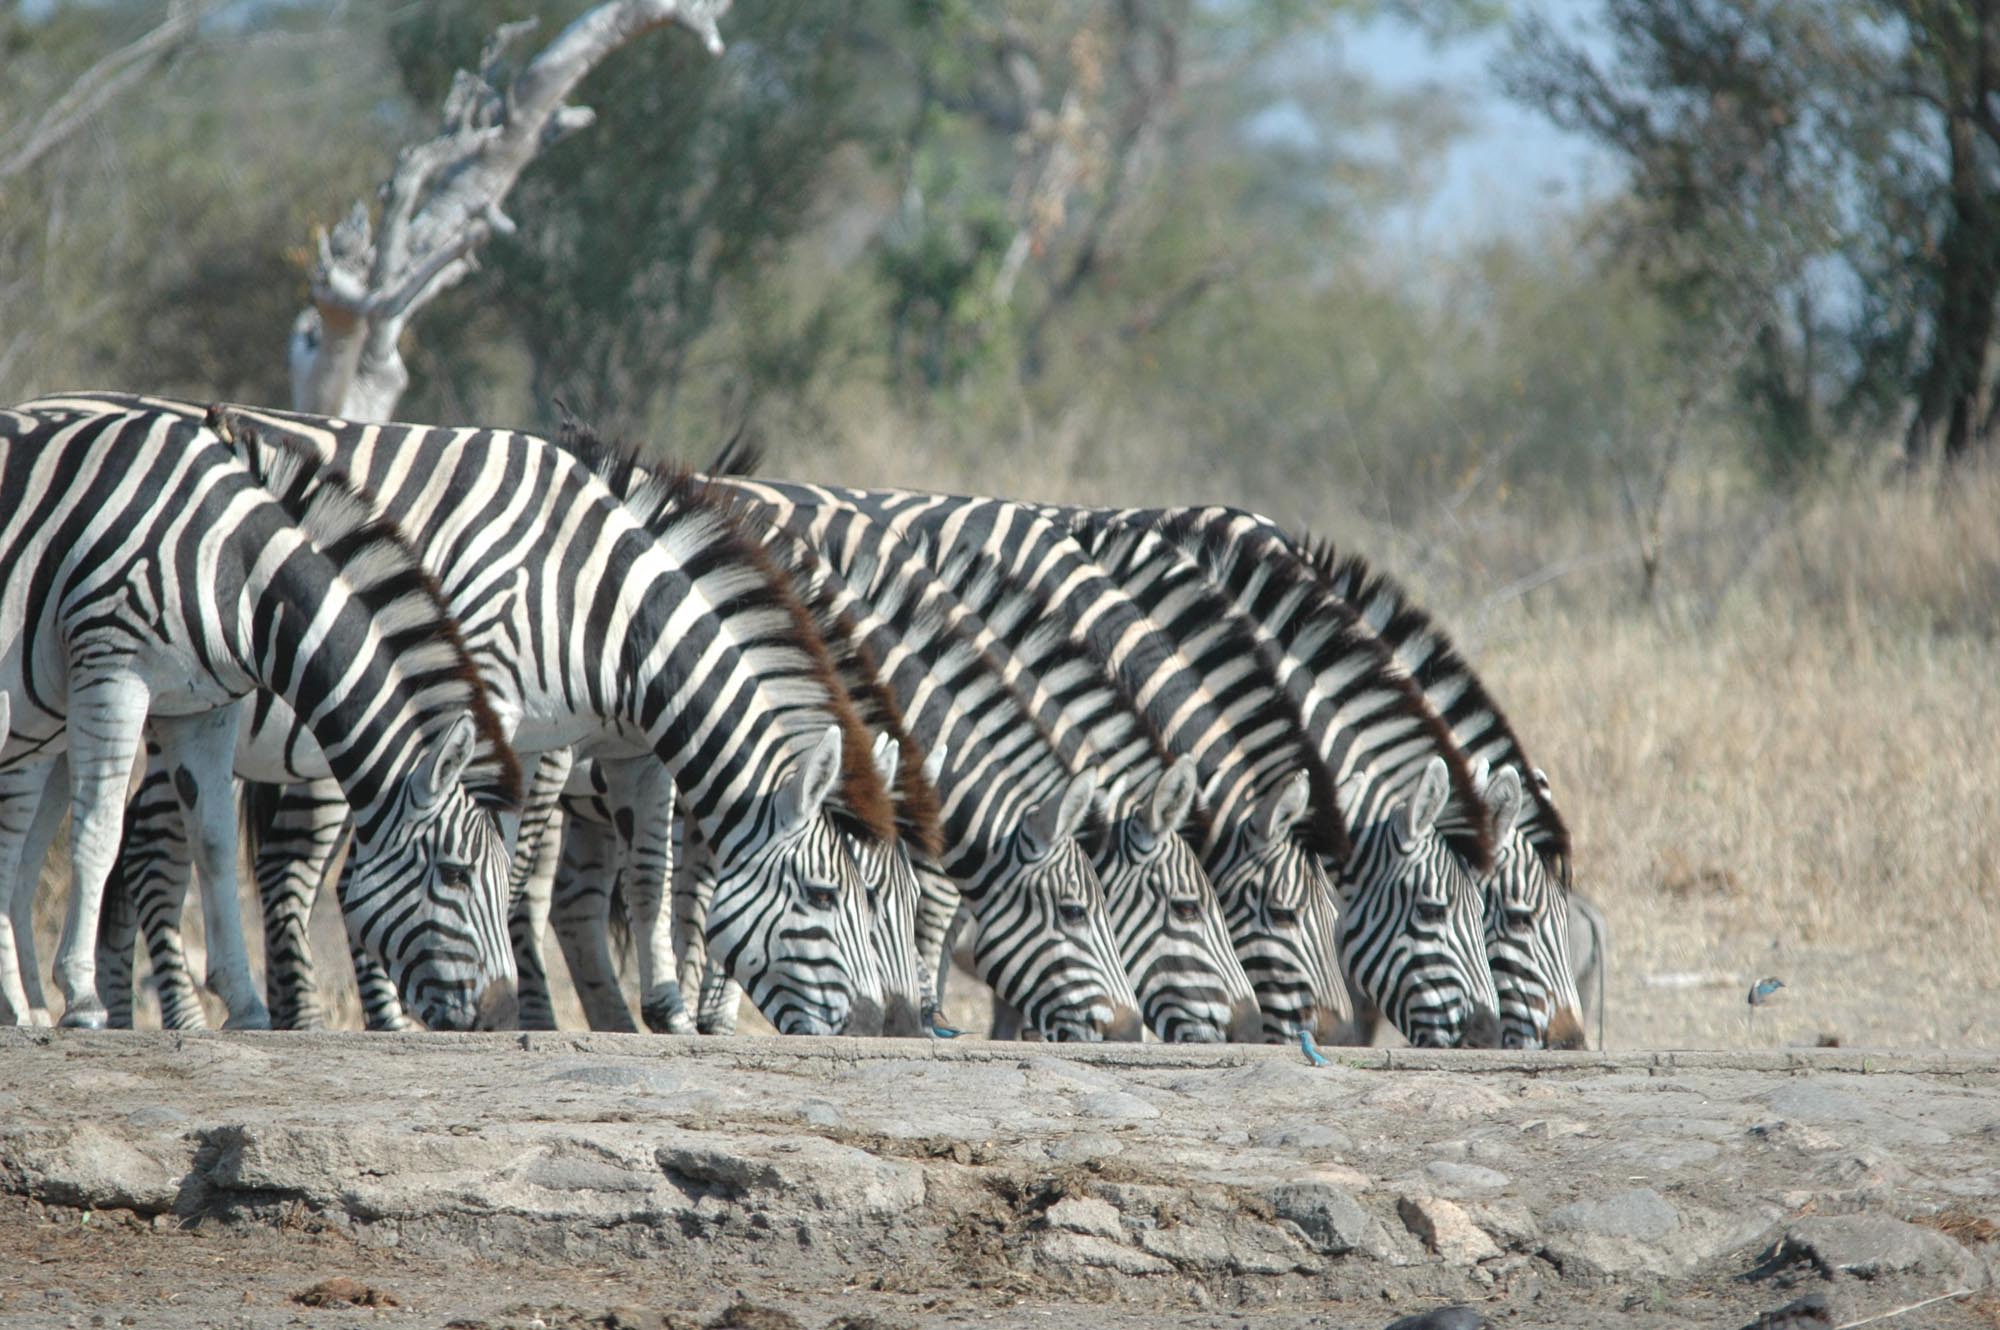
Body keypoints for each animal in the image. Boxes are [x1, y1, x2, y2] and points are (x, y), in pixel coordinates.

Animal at [1, 400, 520, 1030]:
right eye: (454, 874)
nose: (503, 1018)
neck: (237, 572)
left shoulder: (204, 708)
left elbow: (215, 845)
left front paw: (245, 1002)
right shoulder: (112, 667)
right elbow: (99, 830)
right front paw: (80, 997)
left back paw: (22, 1007)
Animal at [54, 393, 893, 1037]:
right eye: (829, 896)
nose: (878, 1027)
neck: (596, 603)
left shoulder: (617, 747)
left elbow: (650, 872)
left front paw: (668, 1011)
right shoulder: (504, 715)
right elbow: (511, 868)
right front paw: (521, 1007)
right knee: (160, 854)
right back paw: (198, 1018)